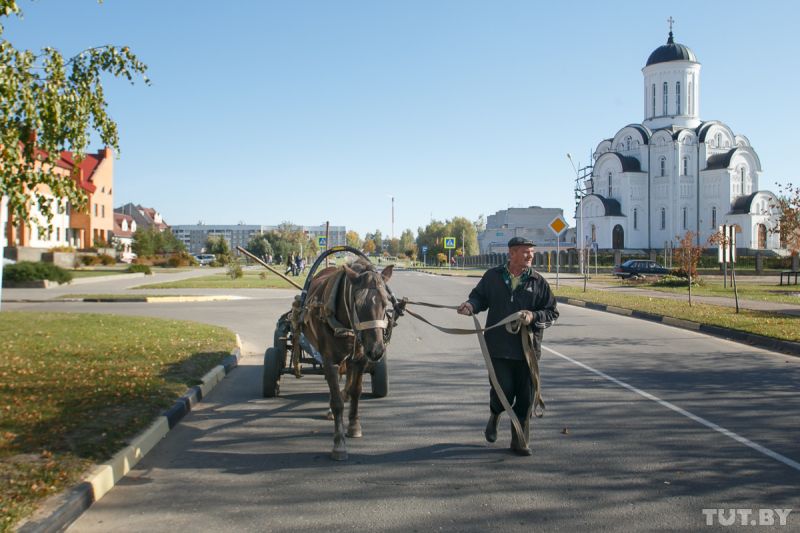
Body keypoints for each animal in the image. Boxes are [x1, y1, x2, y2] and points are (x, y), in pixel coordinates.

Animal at [298, 260, 396, 460]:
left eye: (385, 302)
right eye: (357, 304)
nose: (376, 350)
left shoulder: (359, 358)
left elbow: (356, 391)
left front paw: (354, 426)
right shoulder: (329, 361)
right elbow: (337, 401)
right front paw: (339, 443)